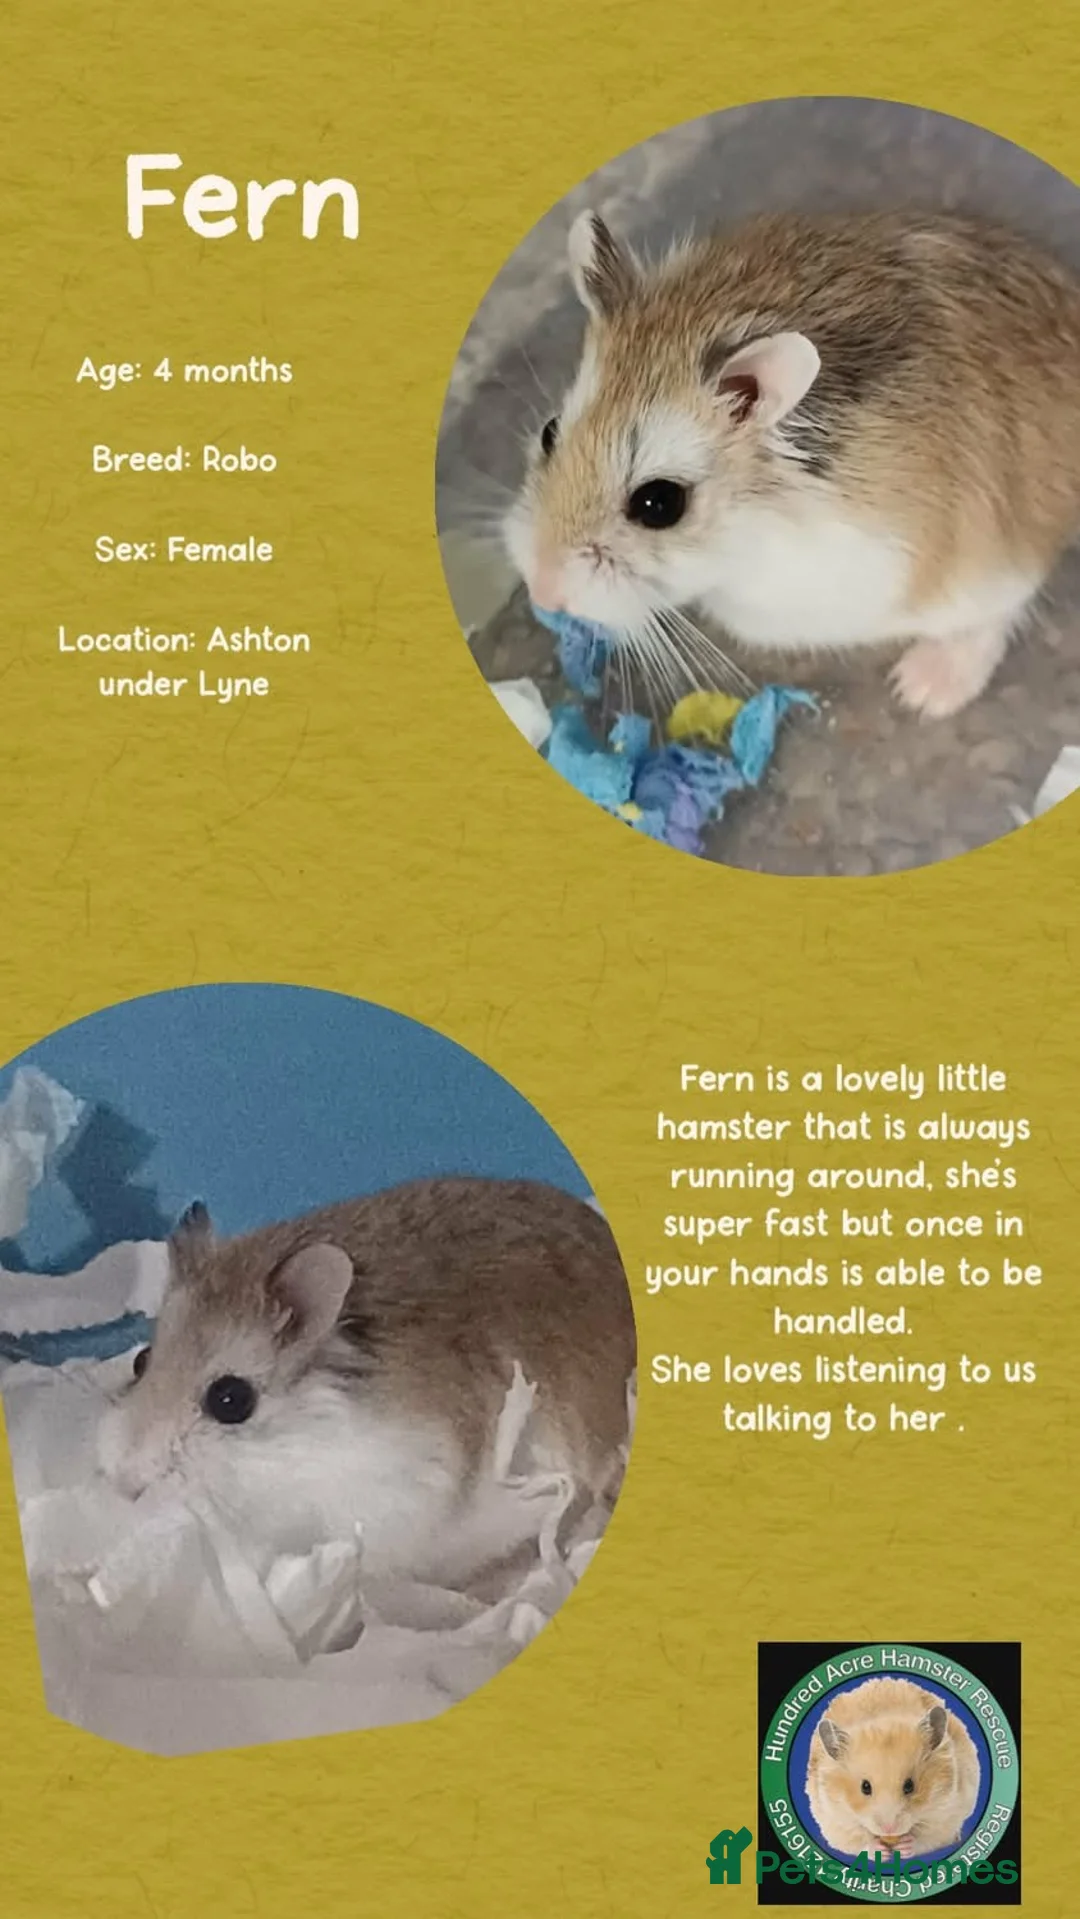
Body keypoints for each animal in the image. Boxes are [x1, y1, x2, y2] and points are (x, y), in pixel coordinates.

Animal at [504, 205, 1080, 718]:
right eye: (550, 432)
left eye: (660, 503)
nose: (543, 594)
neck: (754, 523)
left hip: (989, 568)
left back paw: (922, 689)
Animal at [806, 1677, 981, 1859]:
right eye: (865, 1787)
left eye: (910, 1786)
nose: (889, 1829)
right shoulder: (835, 1820)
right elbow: (858, 1840)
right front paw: (881, 1852)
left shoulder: (947, 1812)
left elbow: (927, 1838)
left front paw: (904, 1846)